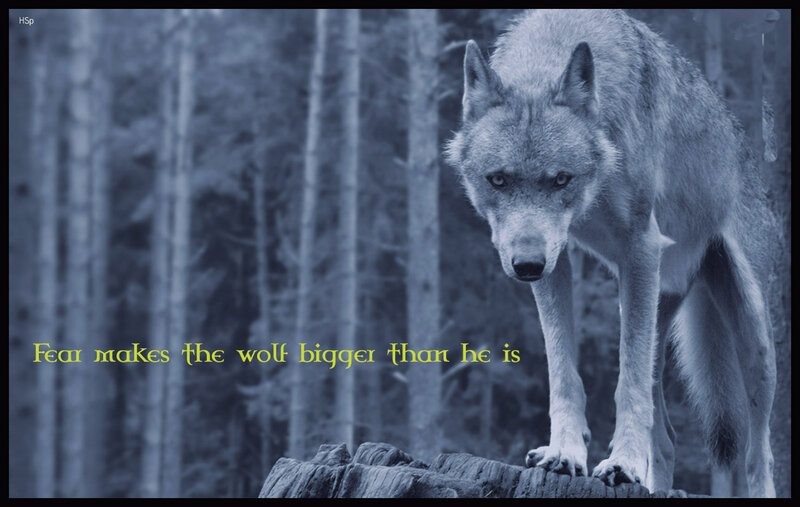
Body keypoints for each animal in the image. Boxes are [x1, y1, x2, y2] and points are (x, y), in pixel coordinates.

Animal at [445, 9, 777, 497]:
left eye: (561, 179)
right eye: (498, 180)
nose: (526, 266)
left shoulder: (639, 247)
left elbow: (627, 383)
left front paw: (622, 462)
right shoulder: (556, 261)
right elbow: (563, 372)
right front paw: (565, 452)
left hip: (752, 341)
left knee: (758, 453)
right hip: (653, 305)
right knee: (669, 439)